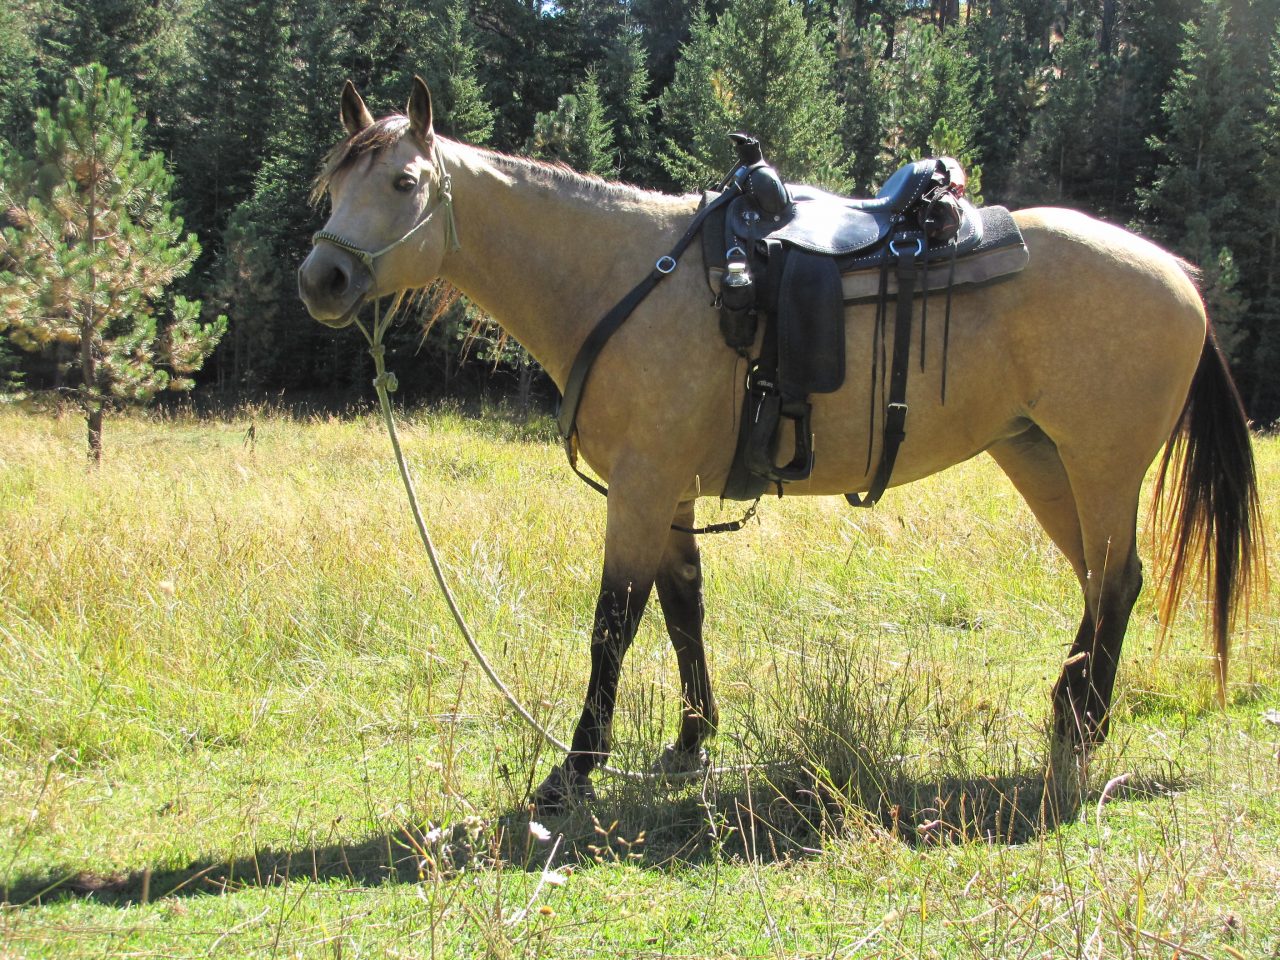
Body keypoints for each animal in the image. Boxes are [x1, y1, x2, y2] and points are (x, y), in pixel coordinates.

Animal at [298, 77, 1264, 812]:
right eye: (335, 186)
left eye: (407, 182)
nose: (323, 279)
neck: (626, 279)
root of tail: (1180, 275)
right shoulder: (670, 489)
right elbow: (682, 608)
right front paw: (691, 743)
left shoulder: (642, 486)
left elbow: (614, 624)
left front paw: (573, 772)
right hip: (1038, 456)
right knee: (1098, 582)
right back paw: (1069, 716)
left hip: (1102, 464)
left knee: (1120, 580)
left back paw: (1084, 733)